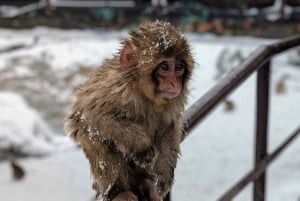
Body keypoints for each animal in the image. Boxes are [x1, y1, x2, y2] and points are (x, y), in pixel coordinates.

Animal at [64, 20, 193, 201]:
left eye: (179, 67)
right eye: (165, 68)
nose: (175, 83)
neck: (145, 95)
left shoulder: (174, 102)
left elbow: (169, 128)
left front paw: (163, 175)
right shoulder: (114, 88)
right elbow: (92, 115)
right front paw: (141, 146)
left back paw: (146, 183)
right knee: (97, 138)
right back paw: (119, 191)